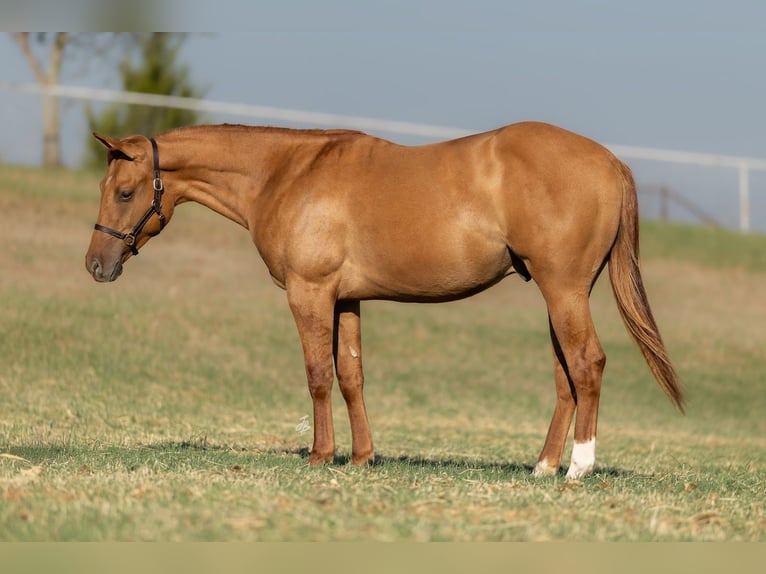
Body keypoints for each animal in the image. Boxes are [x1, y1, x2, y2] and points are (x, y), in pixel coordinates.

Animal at [84, 121, 683, 479]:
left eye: (125, 192)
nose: (96, 265)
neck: (286, 172)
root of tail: (610, 162)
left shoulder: (310, 293)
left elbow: (317, 375)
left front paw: (321, 456)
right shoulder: (346, 299)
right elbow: (351, 376)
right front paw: (361, 457)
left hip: (564, 291)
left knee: (587, 364)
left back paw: (579, 467)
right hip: (559, 295)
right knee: (565, 375)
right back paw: (543, 466)